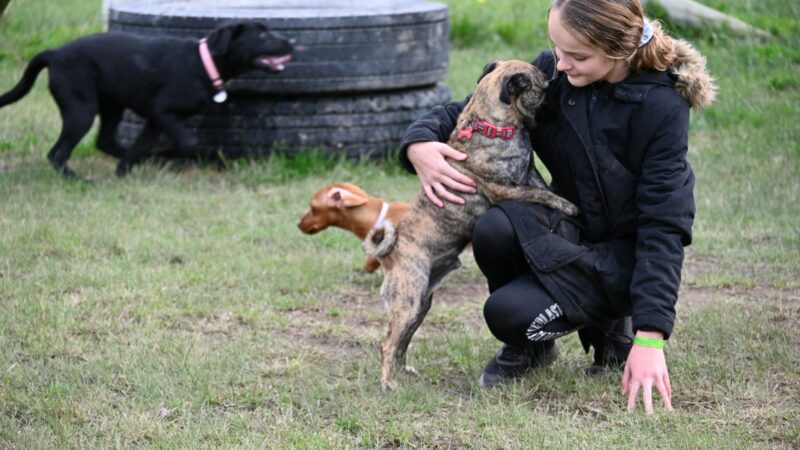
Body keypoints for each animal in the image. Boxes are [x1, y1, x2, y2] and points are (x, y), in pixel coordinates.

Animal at [0, 21, 294, 178]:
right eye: (263, 35)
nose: (291, 41)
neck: (204, 62)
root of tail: (54, 53)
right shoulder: (162, 111)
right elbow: (189, 141)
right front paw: (165, 154)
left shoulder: (155, 119)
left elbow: (141, 145)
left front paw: (125, 169)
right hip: (81, 110)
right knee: (57, 153)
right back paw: (76, 180)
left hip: (112, 105)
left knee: (104, 141)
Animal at [366, 59, 580, 390]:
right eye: (544, 88)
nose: (557, 105)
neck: (495, 123)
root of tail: (390, 254)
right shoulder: (506, 189)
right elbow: (541, 195)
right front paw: (567, 205)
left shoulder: (529, 173)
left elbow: (544, 188)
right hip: (407, 301)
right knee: (388, 344)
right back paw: (389, 383)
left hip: (419, 306)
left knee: (402, 341)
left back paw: (404, 372)